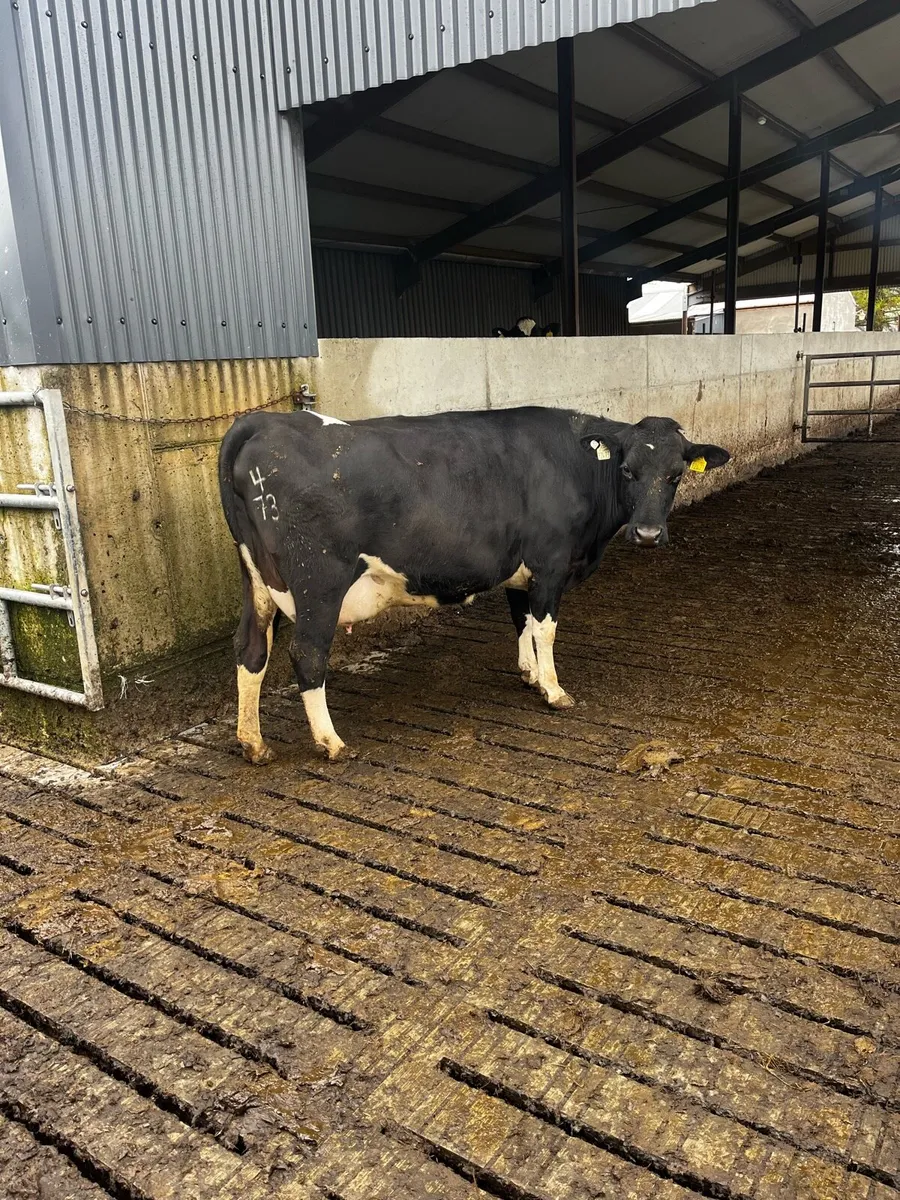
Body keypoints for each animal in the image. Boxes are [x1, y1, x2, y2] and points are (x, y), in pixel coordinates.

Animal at [218, 407, 729, 763]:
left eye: (675, 475)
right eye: (627, 471)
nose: (647, 534)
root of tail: (262, 423)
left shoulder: (521, 569)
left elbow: (522, 620)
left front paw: (529, 674)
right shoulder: (551, 563)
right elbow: (545, 627)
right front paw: (554, 690)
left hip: (256, 579)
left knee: (250, 648)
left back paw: (254, 743)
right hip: (318, 582)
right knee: (307, 653)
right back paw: (331, 741)